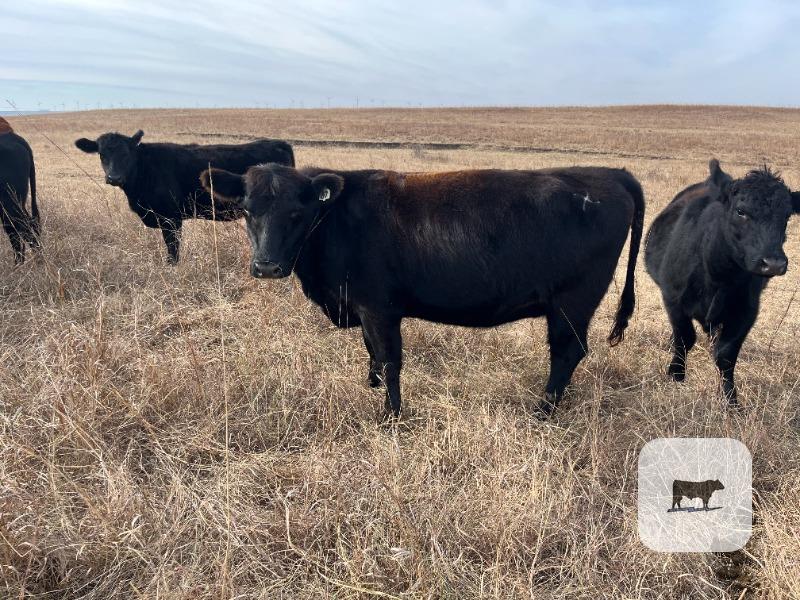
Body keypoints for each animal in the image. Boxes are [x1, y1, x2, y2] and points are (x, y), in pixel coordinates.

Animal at [74, 131, 295, 263]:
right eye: (102, 154)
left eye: (126, 154)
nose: (114, 177)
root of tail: (280, 143)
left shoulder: (171, 218)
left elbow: (173, 248)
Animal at [200, 163, 645, 419]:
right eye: (247, 210)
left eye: (297, 212)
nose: (266, 266)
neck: (335, 220)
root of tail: (608, 172)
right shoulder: (365, 311)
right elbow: (373, 356)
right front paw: (371, 385)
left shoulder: (379, 308)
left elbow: (390, 361)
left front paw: (391, 416)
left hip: (572, 302)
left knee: (567, 353)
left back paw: (543, 410)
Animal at [645, 159, 800, 407]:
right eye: (741, 211)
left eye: (786, 216)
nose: (774, 263)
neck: (718, 277)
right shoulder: (673, 298)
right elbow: (684, 338)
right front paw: (676, 374)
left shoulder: (747, 311)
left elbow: (726, 354)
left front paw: (730, 398)